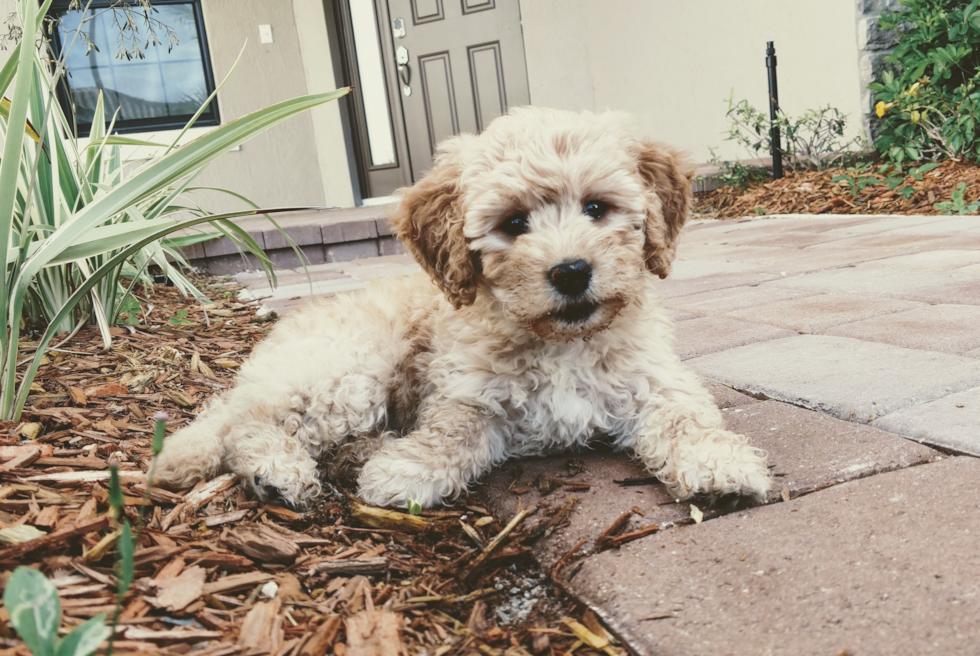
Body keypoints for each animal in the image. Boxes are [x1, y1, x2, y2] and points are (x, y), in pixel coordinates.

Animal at [153, 106, 768, 508]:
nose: (571, 272)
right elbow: (453, 431)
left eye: (597, 208)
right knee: (248, 427)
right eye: (514, 223)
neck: (561, 344)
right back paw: (279, 472)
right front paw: (409, 469)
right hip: (349, 370)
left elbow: (685, 417)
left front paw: (719, 463)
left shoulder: (655, 379)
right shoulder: (467, 392)